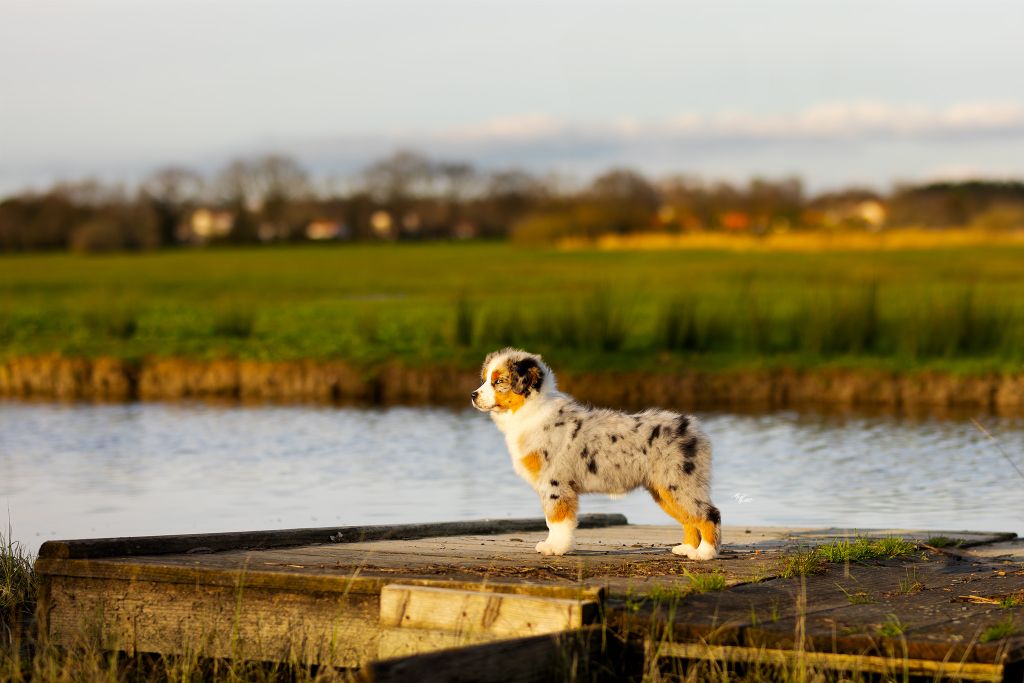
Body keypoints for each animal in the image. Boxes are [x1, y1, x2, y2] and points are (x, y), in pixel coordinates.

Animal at [471, 350, 720, 557]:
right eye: (485, 379)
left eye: (498, 381)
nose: (473, 395)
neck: (530, 410)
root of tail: (694, 428)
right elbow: (553, 520)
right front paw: (554, 545)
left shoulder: (555, 483)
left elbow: (556, 520)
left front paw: (555, 548)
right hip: (663, 489)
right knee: (689, 519)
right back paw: (687, 549)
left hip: (678, 483)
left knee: (709, 514)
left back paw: (704, 553)